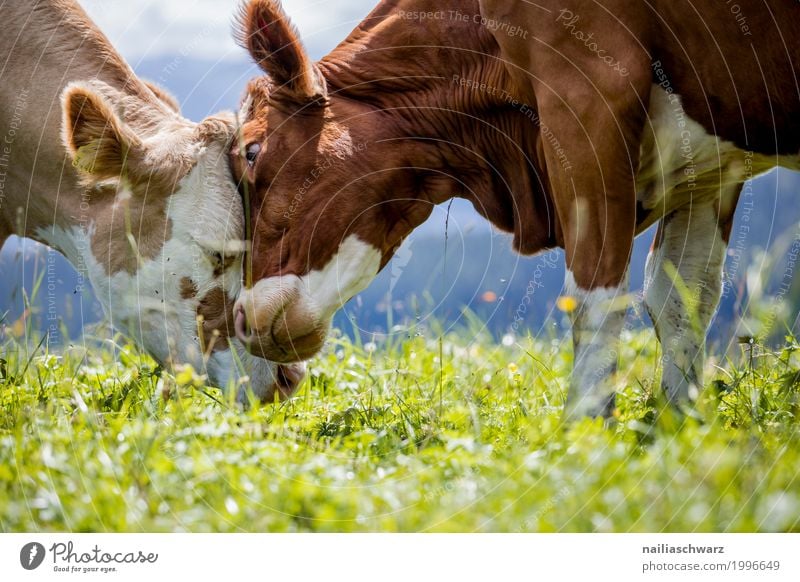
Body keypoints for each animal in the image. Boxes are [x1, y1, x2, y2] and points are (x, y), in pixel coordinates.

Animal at [228, 0, 796, 420]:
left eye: (252, 152)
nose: (241, 316)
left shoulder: (586, 92)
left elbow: (594, 294)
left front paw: (587, 432)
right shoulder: (710, 165)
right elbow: (682, 296)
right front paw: (681, 424)